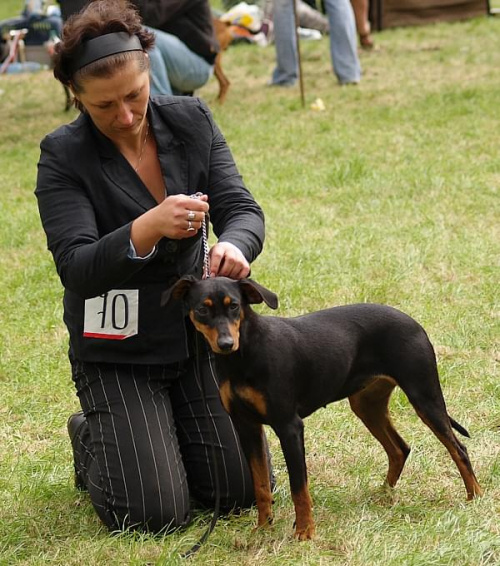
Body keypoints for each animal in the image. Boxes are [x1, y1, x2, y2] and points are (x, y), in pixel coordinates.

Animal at [162, 278, 482, 540]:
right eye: (202, 310)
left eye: (235, 306)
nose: (226, 343)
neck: (246, 354)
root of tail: (414, 323)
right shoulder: (246, 427)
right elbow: (260, 485)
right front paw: (263, 528)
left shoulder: (289, 427)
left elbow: (299, 487)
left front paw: (305, 532)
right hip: (367, 405)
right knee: (399, 448)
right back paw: (382, 495)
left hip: (424, 396)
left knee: (458, 449)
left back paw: (474, 497)